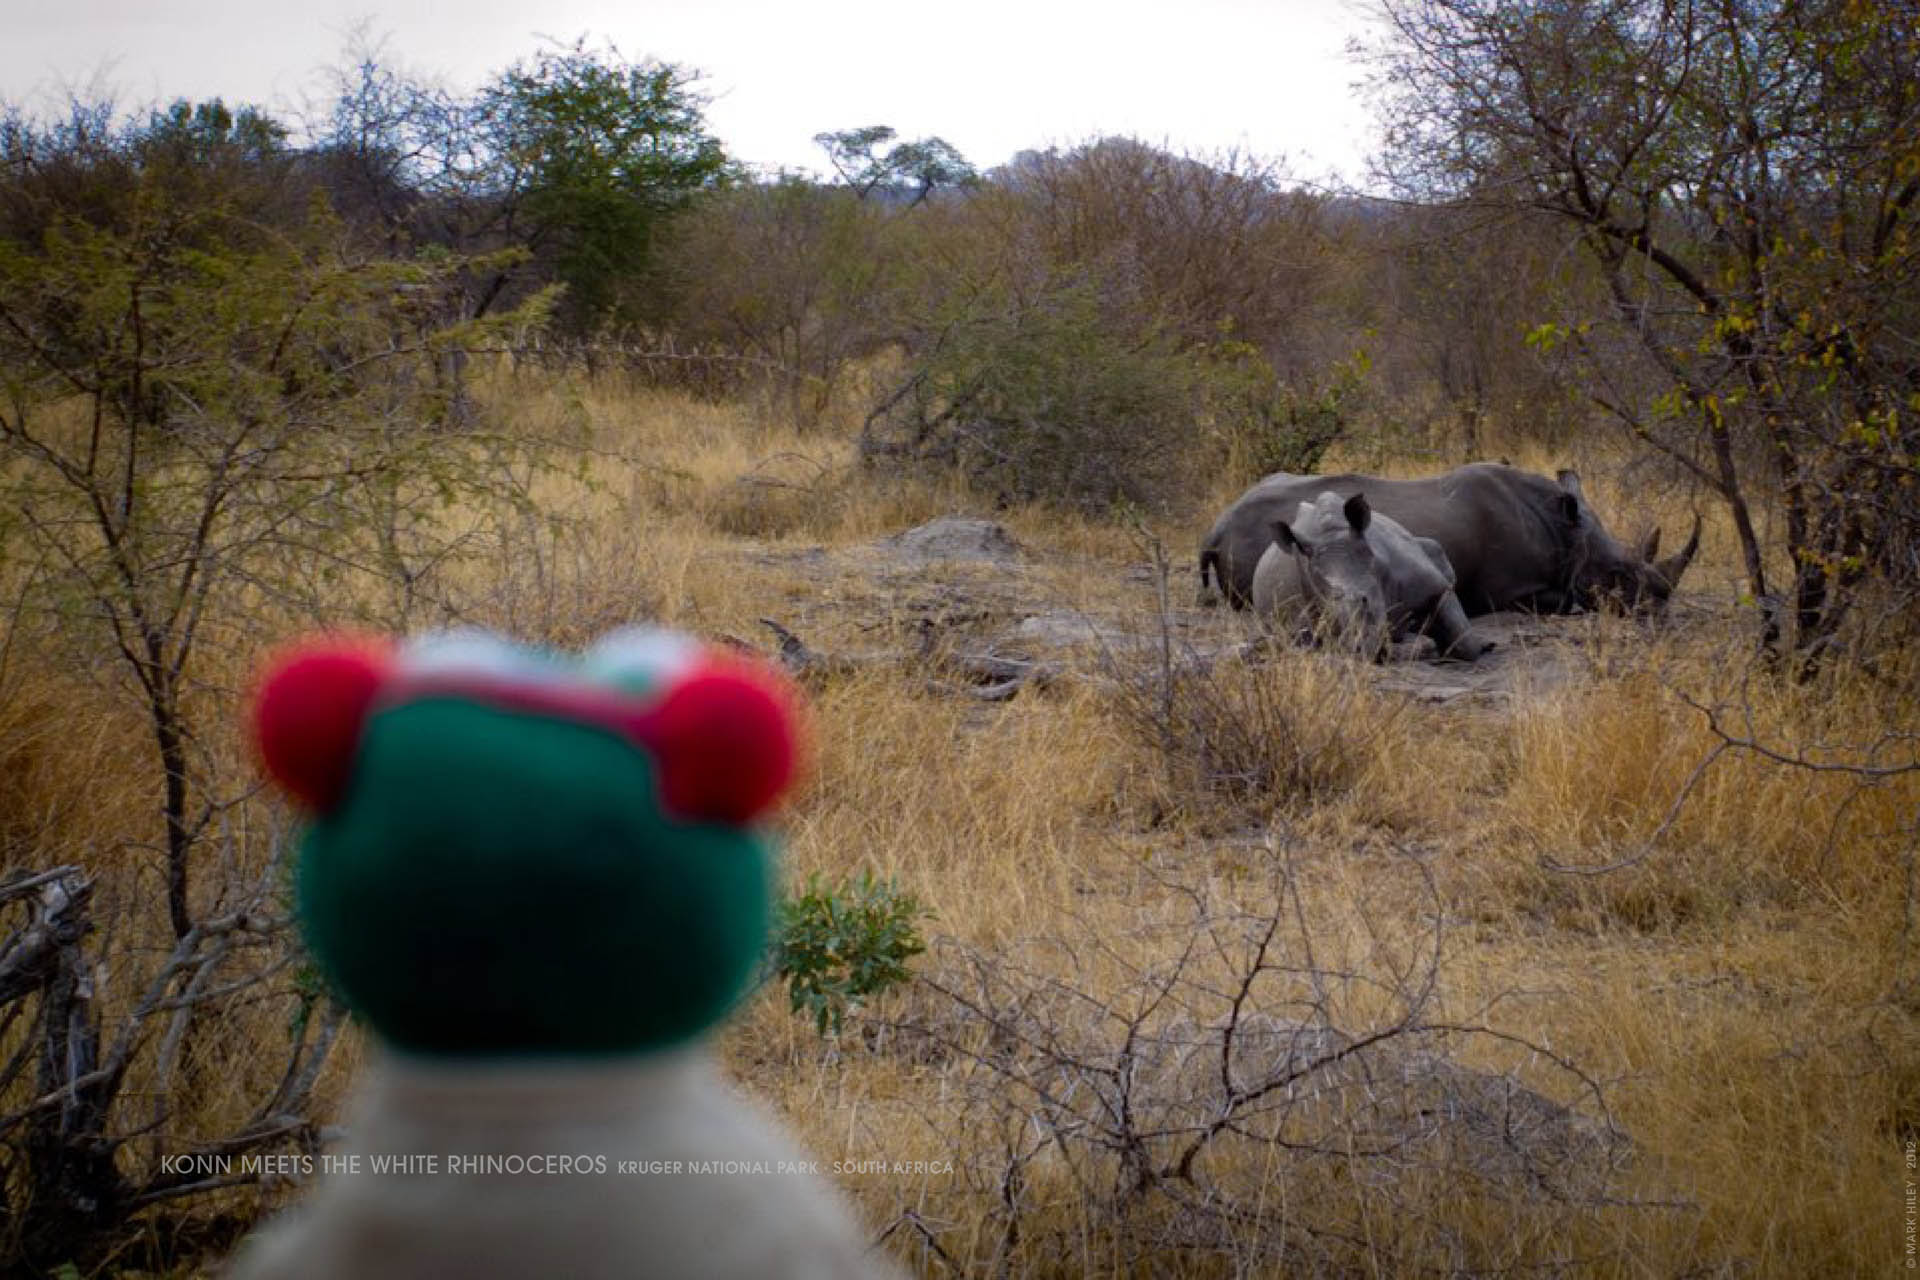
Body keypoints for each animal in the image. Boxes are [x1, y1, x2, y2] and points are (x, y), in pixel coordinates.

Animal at [1201, 463, 1700, 616]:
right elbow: (1565, 600)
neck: (1567, 533)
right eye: (1618, 573)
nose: (1658, 607)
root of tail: (1217, 527)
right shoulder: (1509, 589)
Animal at [1252, 491, 1492, 661]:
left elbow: (1466, 643)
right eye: (1330, 614)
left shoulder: (1434, 585)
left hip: (1423, 544)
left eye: (1367, 601)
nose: (1358, 647)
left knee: (1434, 549)